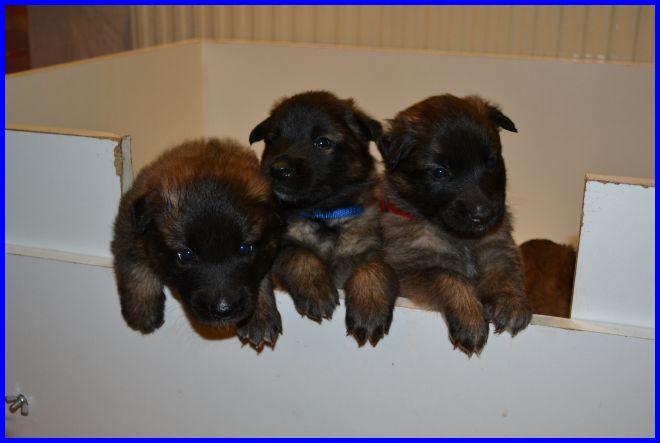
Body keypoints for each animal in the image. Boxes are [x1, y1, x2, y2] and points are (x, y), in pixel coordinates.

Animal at [111, 138, 283, 350]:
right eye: (185, 255)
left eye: (245, 249)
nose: (223, 310)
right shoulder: (128, 224)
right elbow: (132, 262)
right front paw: (142, 309)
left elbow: (263, 274)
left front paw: (260, 316)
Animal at [249, 91, 398, 346]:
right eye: (272, 139)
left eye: (322, 142)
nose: (278, 169)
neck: (324, 214)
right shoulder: (279, 247)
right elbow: (297, 252)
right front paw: (315, 288)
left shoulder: (372, 247)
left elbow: (375, 265)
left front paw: (369, 306)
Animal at [378, 94, 532, 355]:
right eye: (440, 172)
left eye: (491, 161)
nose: (483, 214)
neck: (462, 239)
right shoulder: (410, 269)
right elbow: (448, 275)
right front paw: (470, 316)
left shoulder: (498, 247)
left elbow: (504, 272)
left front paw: (510, 301)